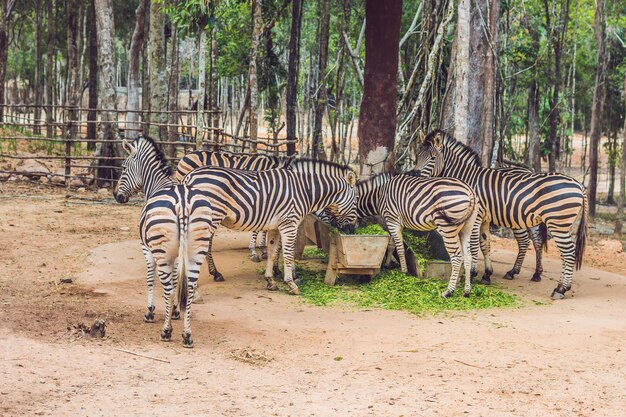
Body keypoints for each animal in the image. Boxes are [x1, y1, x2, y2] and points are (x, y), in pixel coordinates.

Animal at [114, 136, 214, 348]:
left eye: (124, 167)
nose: (116, 196)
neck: (158, 184)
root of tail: (183, 200)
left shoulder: (147, 249)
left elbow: (151, 279)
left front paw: (150, 311)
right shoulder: (175, 255)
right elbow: (177, 279)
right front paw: (175, 311)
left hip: (160, 250)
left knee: (166, 286)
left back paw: (166, 331)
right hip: (196, 250)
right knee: (190, 287)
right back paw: (187, 335)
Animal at [180, 158, 356, 292]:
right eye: (355, 202)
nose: (352, 229)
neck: (305, 190)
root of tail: (189, 176)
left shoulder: (276, 226)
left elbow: (272, 251)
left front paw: (271, 280)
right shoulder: (289, 223)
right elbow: (288, 252)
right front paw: (291, 281)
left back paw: (211, 275)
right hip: (208, 217)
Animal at [414, 130, 584, 300]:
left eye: (432, 158)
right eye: (417, 156)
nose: (416, 176)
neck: (467, 178)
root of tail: (579, 185)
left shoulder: (476, 217)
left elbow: (473, 245)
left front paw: (473, 273)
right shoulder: (484, 219)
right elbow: (485, 244)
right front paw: (486, 274)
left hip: (557, 222)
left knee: (567, 252)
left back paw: (560, 289)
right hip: (542, 221)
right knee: (540, 243)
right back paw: (537, 275)